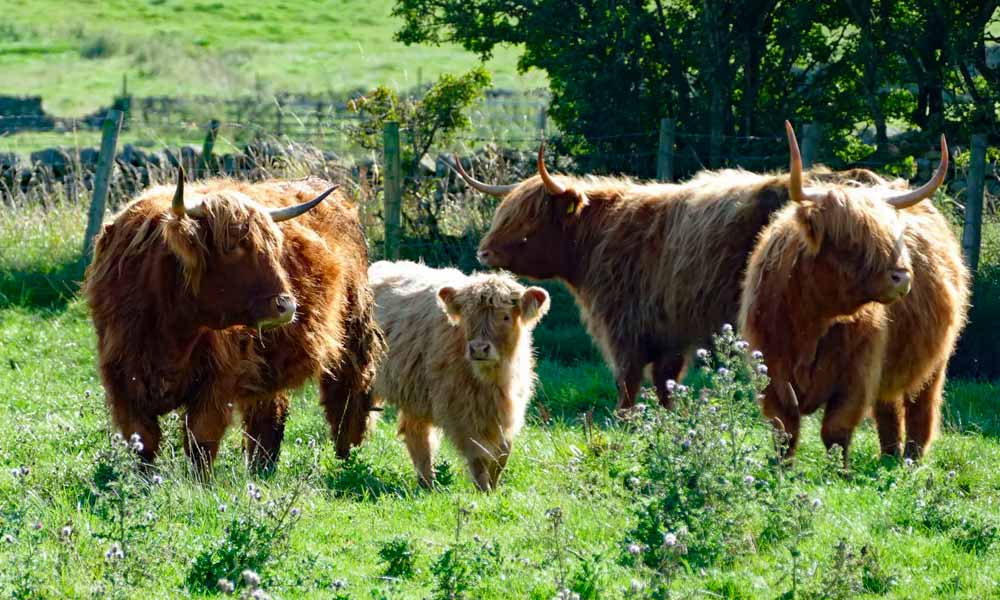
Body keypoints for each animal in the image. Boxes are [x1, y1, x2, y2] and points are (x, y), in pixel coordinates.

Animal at [83, 170, 384, 474]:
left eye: (275, 248)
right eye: (231, 246)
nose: (286, 306)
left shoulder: (219, 379)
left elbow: (200, 441)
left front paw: (198, 483)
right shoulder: (121, 379)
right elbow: (144, 442)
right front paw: (143, 481)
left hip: (354, 332)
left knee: (347, 397)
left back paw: (347, 458)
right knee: (268, 413)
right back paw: (263, 468)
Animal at [368, 261, 549, 491]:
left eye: (506, 316)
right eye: (468, 317)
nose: (479, 348)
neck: (492, 379)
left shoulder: (509, 409)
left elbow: (502, 454)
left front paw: (494, 487)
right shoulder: (461, 411)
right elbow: (478, 455)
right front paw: (484, 490)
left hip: (414, 392)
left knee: (417, 434)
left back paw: (427, 483)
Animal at [453, 147, 806, 410]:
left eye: (530, 218)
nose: (483, 252)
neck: (597, 237)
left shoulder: (624, 326)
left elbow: (628, 382)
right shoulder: (668, 334)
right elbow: (666, 384)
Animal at [739, 122, 970, 463]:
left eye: (892, 237)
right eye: (850, 241)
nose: (902, 277)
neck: (811, 319)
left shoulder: (857, 374)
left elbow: (835, 430)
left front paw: (838, 471)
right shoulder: (770, 369)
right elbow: (785, 429)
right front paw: (781, 469)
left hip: (936, 360)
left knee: (920, 406)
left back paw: (911, 460)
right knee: (888, 407)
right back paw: (889, 456)